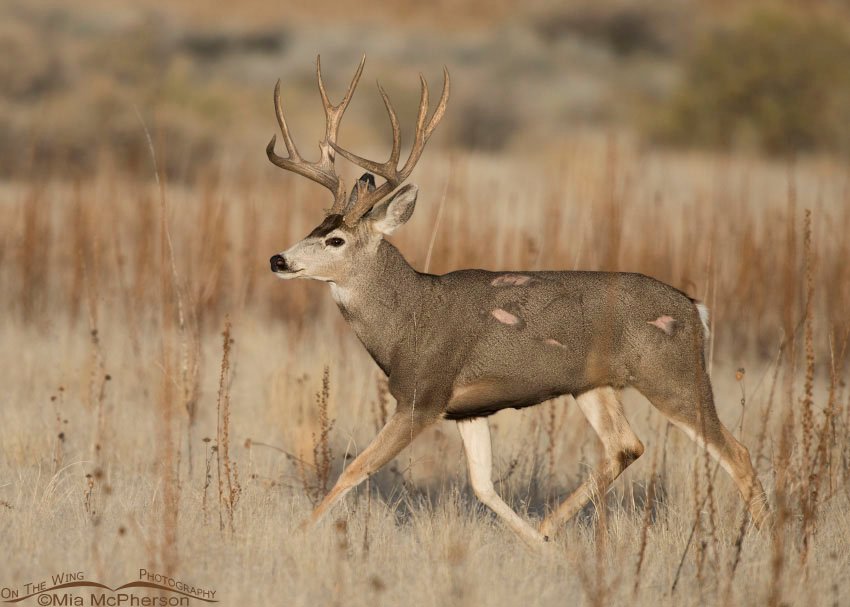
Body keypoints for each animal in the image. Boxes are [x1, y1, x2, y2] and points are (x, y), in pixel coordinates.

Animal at [266, 57, 771, 545]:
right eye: (314, 227)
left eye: (334, 240)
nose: (277, 259)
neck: (408, 319)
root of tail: (696, 309)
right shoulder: (468, 408)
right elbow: (483, 486)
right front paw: (536, 546)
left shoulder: (423, 394)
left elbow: (356, 468)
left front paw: (299, 533)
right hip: (593, 384)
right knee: (626, 446)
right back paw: (549, 530)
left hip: (673, 375)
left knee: (738, 452)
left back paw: (765, 539)